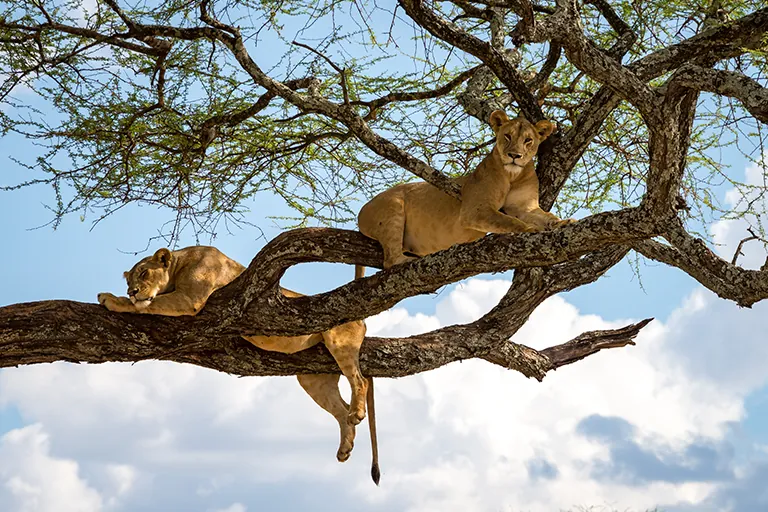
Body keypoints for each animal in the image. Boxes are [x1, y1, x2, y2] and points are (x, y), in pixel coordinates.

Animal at [97, 245, 380, 484]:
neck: (180, 263)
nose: (132, 291)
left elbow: (149, 305)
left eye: (144, 273)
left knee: (359, 380)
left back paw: (357, 413)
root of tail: (363, 319)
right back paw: (345, 447)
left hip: (339, 342)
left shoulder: (189, 299)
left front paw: (112, 299)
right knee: (340, 409)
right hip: (313, 378)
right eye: (129, 280)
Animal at [357, 110, 575, 271]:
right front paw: (530, 230)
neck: (512, 175)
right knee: (390, 260)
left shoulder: (525, 207)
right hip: (392, 208)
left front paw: (564, 222)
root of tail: (362, 210)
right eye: (507, 136)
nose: (514, 155)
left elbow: (546, 216)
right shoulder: (475, 210)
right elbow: (509, 220)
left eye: (528, 140)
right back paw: (406, 261)